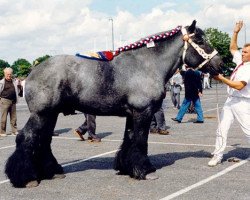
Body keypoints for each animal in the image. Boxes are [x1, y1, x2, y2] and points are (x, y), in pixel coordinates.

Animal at [4, 20, 223, 188]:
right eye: (200, 41)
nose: (220, 64)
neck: (147, 64)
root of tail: (33, 71)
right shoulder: (143, 112)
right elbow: (141, 141)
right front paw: (145, 170)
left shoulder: (132, 114)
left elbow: (130, 139)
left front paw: (127, 168)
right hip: (41, 114)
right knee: (26, 138)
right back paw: (27, 178)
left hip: (51, 114)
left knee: (44, 140)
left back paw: (53, 171)